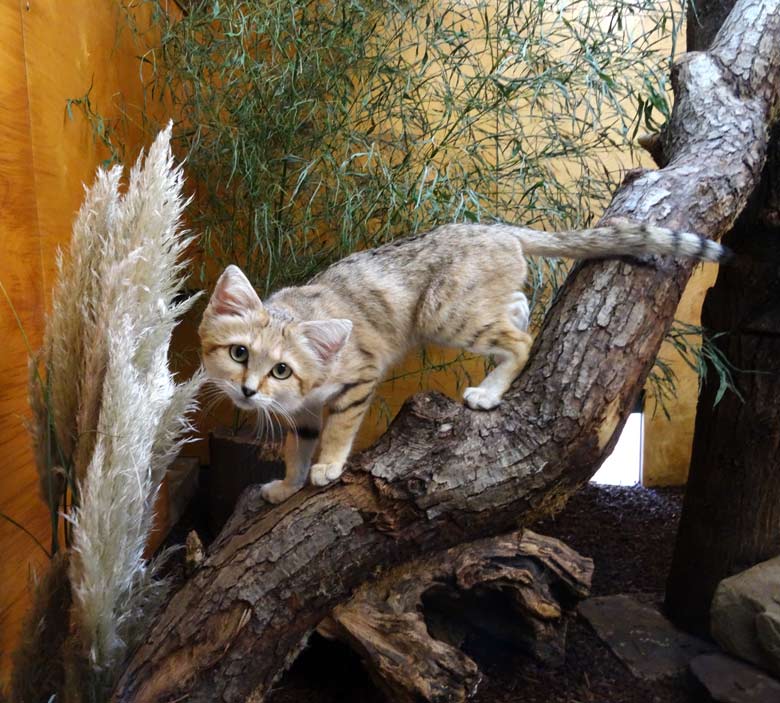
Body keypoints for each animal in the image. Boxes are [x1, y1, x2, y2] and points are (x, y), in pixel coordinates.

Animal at [200, 223, 724, 504]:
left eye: (281, 369)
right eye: (239, 353)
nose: (248, 391)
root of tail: (497, 227)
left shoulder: (358, 380)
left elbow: (337, 431)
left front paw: (327, 467)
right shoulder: (303, 413)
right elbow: (297, 448)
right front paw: (289, 486)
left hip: (445, 314)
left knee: (522, 340)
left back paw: (489, 391)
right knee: (516, 307)